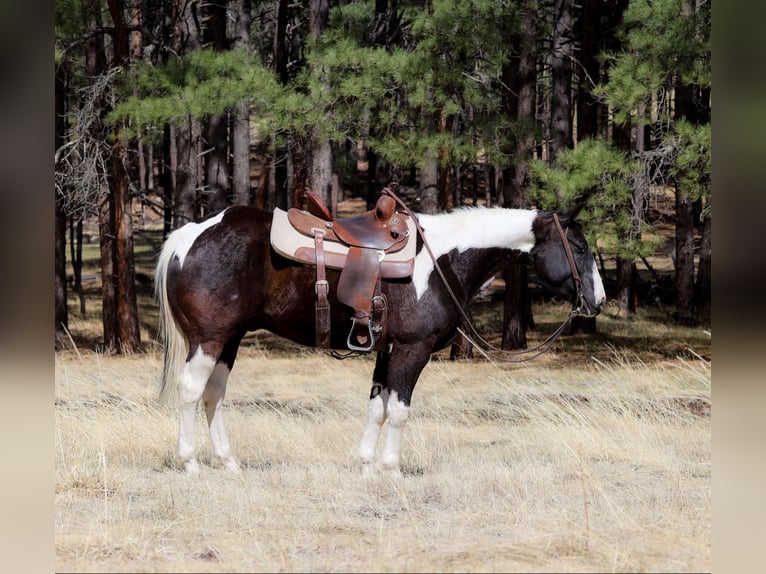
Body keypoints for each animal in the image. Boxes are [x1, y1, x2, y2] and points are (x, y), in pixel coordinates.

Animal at [154, 196, 606, 475]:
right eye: (581, 248)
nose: (598, 300)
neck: (440, 261)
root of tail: (188, 235)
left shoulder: (386, 349)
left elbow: (378, 407)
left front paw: (366, 464)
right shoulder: (412, 350)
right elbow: (400, 410)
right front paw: (391, 468)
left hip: (229, 341)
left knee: (214, 395)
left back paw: (227, 461)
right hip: (209, 340)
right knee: (191, 391)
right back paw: (190, 461)